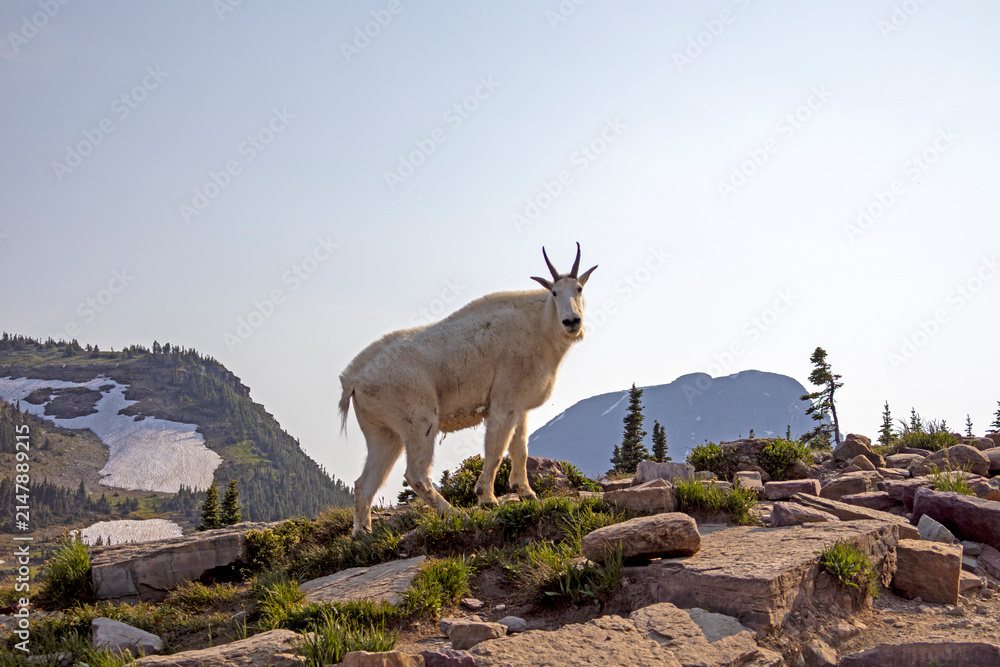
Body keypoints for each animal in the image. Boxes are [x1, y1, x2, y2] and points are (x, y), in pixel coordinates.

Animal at [339, 243, 597, 535]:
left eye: (579, 288)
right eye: (554, 292)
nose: (572, 321)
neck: (539, 326)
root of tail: (352, 380)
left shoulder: (519, 406)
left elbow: (520, 449)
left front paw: (527, 493)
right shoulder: (503, 402)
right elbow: (496, 451)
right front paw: (487, 498)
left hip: (382, 433)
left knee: (364, 482)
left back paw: (362, 534)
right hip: (419, 422)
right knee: (415, 474)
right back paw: (452, 512)